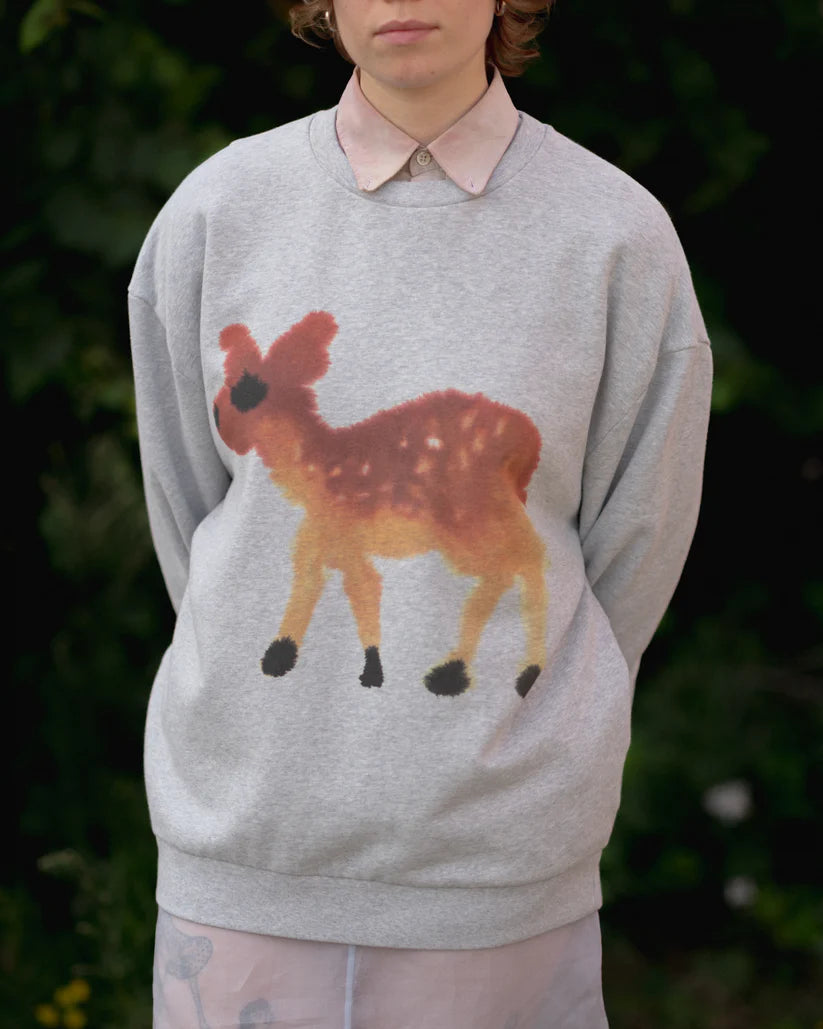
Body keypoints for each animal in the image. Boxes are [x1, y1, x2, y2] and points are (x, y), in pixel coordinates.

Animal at [212, 310, 549, 698]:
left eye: (248, 391)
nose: (216, 414)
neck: (317, 470)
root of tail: (528, 444)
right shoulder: (322, 536)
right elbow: (313, 584)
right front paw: (279, 657)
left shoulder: (343, 533)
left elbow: (362, 589)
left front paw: (371, 672)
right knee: (519, 565)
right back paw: (481, 671)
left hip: (469, 520)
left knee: (517, 566)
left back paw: (470, 673)